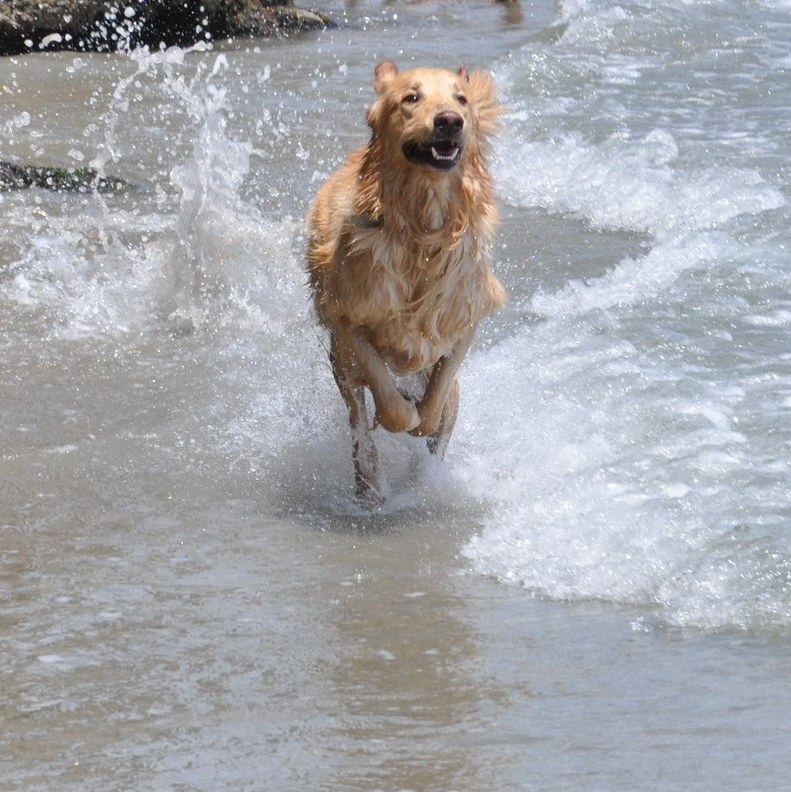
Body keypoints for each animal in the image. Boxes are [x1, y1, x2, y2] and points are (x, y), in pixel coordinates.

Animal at [306, 63, 504, 508]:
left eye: (461, 98)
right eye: (411, 98)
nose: (450, 120)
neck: (422, 229)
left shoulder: (463, 324)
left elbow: (435, 407)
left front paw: (423, 420)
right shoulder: (347, 321)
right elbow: (390, 403)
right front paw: (400, 414)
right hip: (340, 366)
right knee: (359, 426)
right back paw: (369, 489)